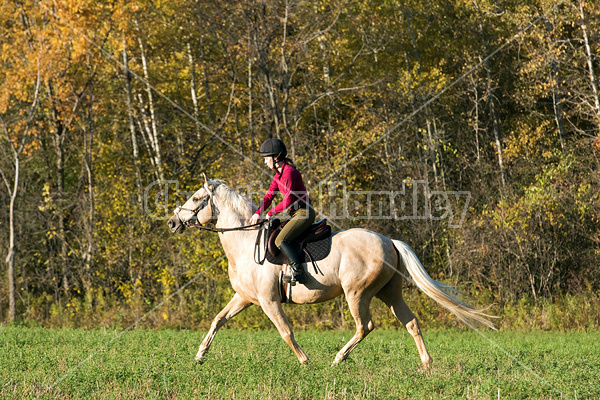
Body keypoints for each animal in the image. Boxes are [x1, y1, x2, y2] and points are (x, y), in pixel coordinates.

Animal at [168, 175, 492, 366]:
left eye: (196, 198)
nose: (172, 222)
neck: (245, 242)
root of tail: (389, 241)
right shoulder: (246, 298)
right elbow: (218, 320)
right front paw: (199, 356)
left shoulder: (269, 301)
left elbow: (286, 331)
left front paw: (305, 361)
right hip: (389, 292)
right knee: (411, 322)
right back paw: (426, 364)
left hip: (357, 293)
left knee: (365, 326)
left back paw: (338, 359)